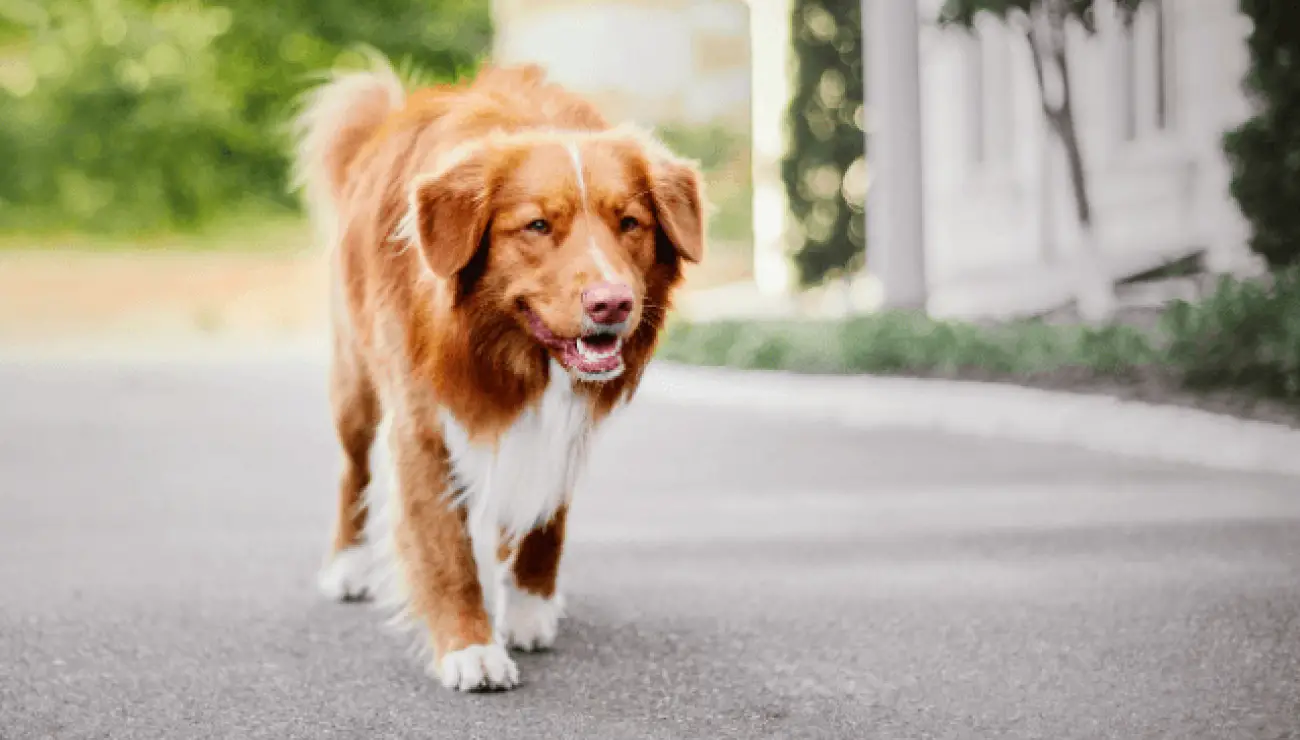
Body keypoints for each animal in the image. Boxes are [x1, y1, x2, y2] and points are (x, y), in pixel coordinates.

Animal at [291, 59, 707, 691]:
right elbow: (446, 547)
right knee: (353, 470)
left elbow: (546, 519)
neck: (508, 350)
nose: (612, 303)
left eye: (630, 222)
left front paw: (529, 604)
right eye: (537, 225)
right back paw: (347, 564)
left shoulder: (565, 420)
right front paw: (470, 647)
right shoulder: (420, 425)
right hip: (355, 382)